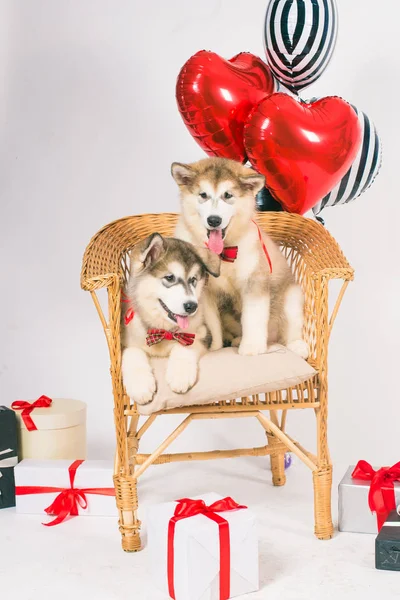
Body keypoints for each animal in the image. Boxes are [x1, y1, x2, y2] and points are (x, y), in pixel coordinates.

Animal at [122, 232, 222, 406]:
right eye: (169, 278)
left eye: (193, 280)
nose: (192, 306)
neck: (164, 331)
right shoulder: (127, 341)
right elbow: (131, 352)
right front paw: (141, 387)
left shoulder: (202, 333)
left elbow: (186, 344)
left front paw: (179, 376)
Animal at [172, 157, 310, 358]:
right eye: (203, 195)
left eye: (228, 195)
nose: (214, 220)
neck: (222, 253)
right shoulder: (204, 292)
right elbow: (214, 325)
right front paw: (215, 349)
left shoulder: (254, 281)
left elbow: (253, 317)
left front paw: (251, 348)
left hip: (292, 296)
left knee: (290, 326)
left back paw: (297, 345)